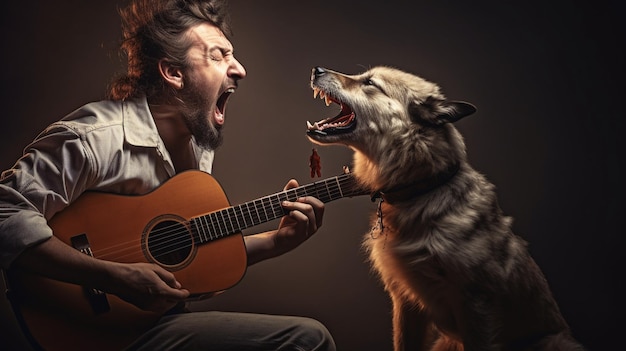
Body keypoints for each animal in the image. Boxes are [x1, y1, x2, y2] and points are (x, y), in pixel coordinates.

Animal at [304, 66, 584, 351]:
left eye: (370, 83)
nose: (316, 69)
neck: (422, 189)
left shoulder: (476, 305)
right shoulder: (404, 299)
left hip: (554, 342)